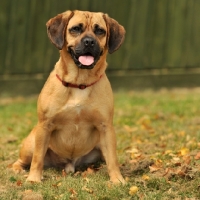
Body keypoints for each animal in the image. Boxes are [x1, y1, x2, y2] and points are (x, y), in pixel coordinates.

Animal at [12, 10, 125, 184]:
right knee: (23, 160)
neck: (79, 83)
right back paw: (18, 169)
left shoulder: (106, 127)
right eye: (76, 29)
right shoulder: (45, 126)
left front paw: (117, 179)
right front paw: (34, 179)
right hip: (31, 143)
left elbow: (113, 158)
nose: (89, 42)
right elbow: (37, 158)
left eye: (100, 31)